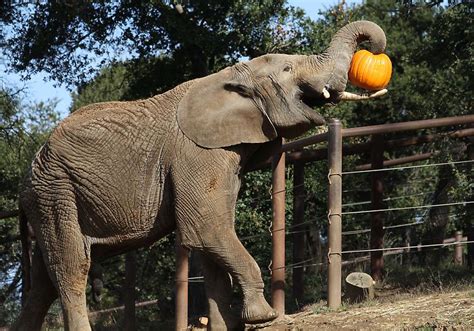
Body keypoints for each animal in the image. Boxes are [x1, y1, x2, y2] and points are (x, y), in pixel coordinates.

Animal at [12, 20, 388, 331]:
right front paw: (262, 317)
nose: (375, 49)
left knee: (44, 280)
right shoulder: (197, 154)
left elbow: (211, 240)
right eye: (287, 68)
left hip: (49, 195)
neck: (231, 77)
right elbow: (208, 228)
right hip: (55, 189)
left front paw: (228, 325)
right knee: (70, 267)